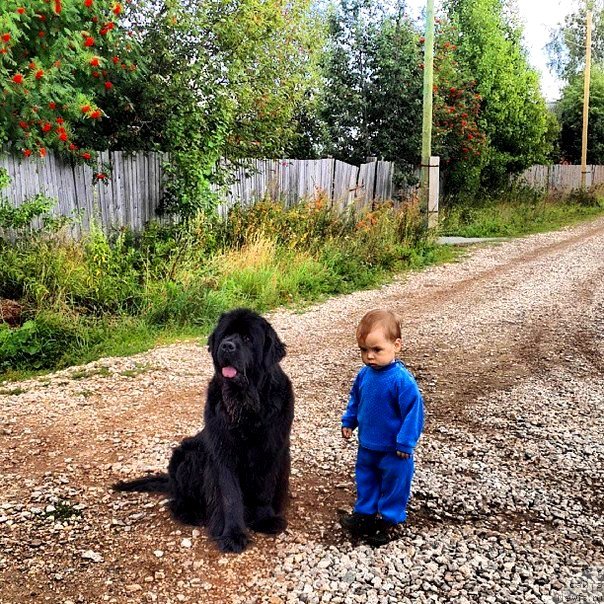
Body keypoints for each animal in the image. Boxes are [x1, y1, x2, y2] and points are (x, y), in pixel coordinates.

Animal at [114, 310, 294, 556]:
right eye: (225, 335)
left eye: (247, 339)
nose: (227, 346)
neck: (245, 405)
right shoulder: (222, 454)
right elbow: (229, 496)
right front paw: (232, 535)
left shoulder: (272, 449)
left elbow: (264, 489)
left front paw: (265, 519)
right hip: (187, 454)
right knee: (177, 500)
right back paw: (191, 513)